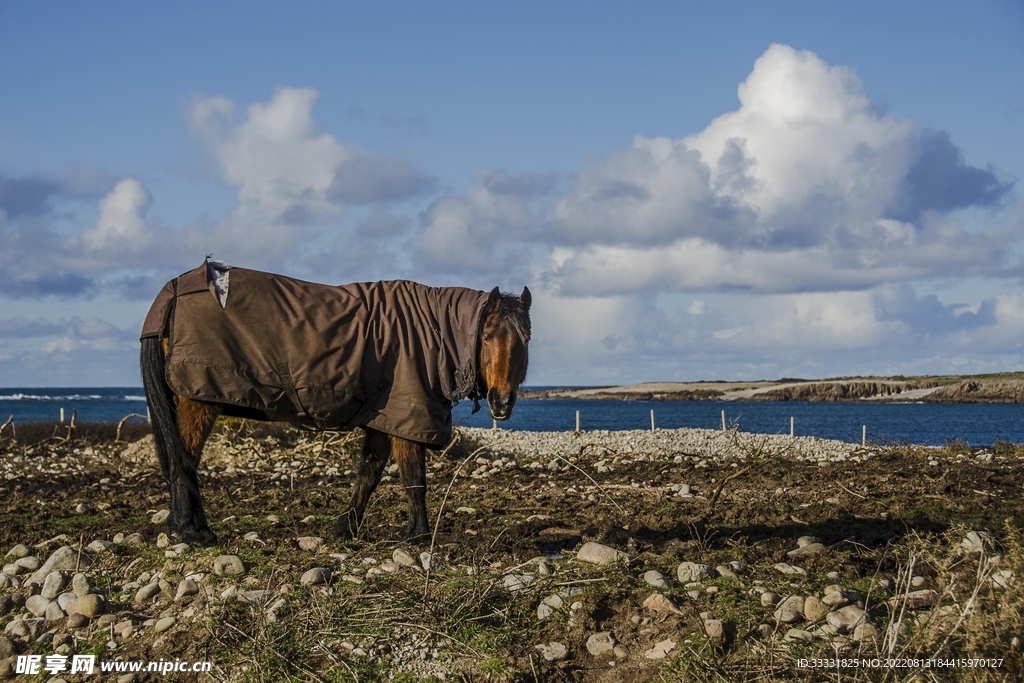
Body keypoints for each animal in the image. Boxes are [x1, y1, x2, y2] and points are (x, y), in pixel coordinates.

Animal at [140, 261, 530, 546]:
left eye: (525, 338)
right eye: (486, 336)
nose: (501, 401)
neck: (430, 332)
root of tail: (174, 291)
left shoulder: (385, 417)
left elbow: (368, 474)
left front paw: (345, 530)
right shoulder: (409, 416)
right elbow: (414, 478)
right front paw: (418, 537)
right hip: (197, 401)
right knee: (184, 460)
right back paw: (190, 531)